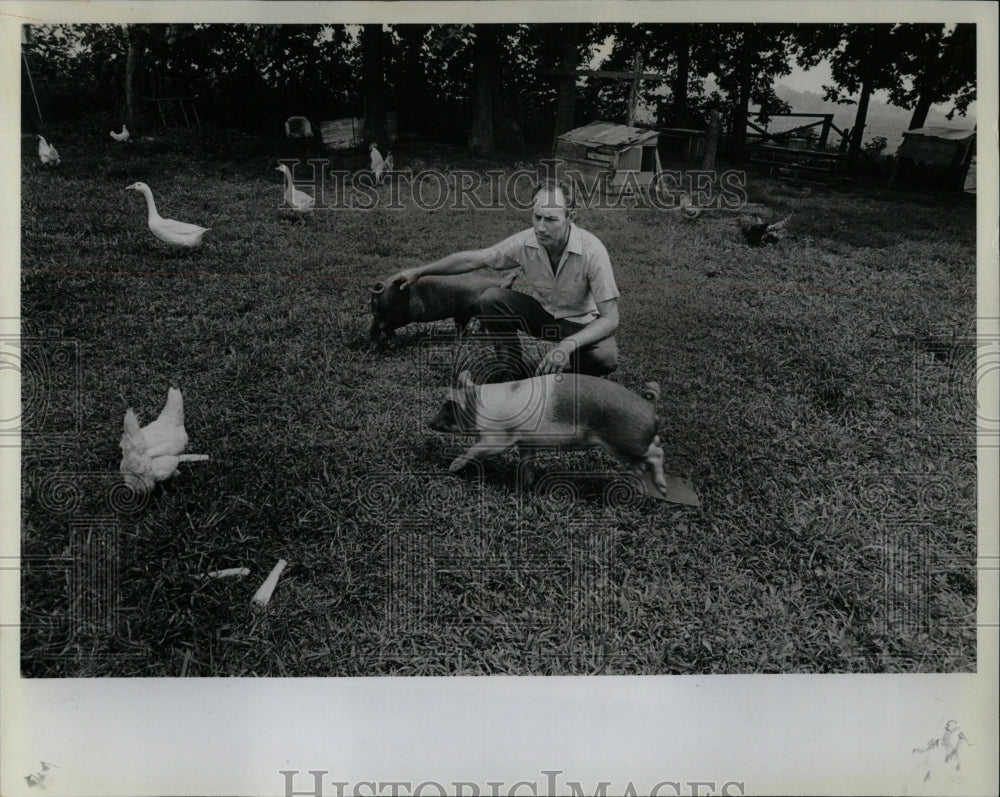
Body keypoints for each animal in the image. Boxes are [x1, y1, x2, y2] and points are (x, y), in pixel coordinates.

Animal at [426, 368, 668, 498]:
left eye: (447, 407)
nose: (429, 423)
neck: (480, 409)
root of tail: (650, 406)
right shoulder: (525, 442)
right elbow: (526, 462)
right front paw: (524, 487)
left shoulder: (497, 439)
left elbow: (475, 449)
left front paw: (452, 467)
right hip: (627, 448)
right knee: (652, 448)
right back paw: (641, 482)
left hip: (627, 441)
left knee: (658, 453)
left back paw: (663, 490)